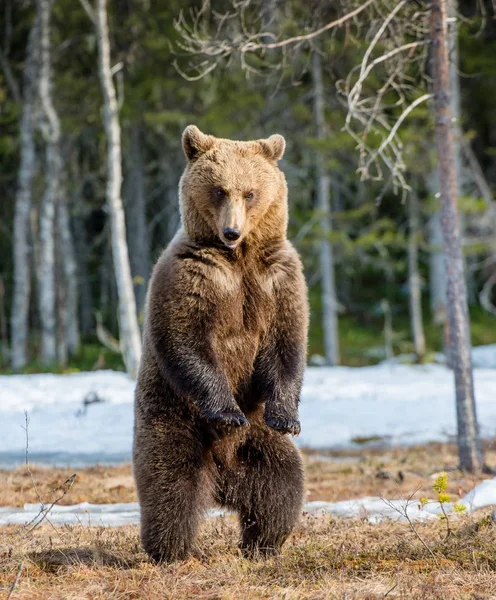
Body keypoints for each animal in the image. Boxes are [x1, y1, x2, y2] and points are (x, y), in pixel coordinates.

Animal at [134, 125, 308, 564]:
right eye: (218, 190)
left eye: (250, 192)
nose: (232, 231)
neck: (238, 259)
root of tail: (222, 480)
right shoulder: (192, 277)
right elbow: (186, 341)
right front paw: (228, 412)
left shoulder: (277, 278)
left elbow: (287, 344)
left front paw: (288, 416)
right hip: (172, 420)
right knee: (170, 489)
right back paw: (170, 551)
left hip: (258, 443)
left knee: (280, 487)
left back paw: (262, 544)